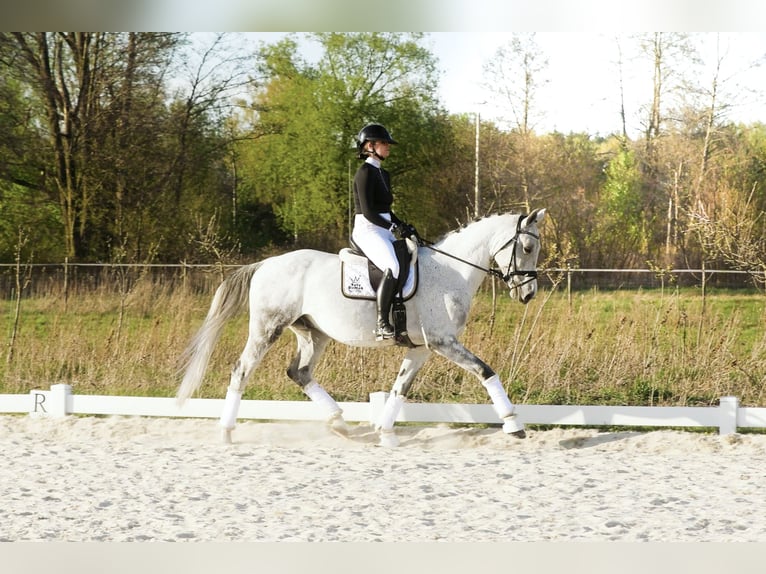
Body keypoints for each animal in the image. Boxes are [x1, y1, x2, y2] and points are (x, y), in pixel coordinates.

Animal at [177, 209, 546, 447]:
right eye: (527, 247)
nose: (528, 294)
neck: (450, 270)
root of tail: (266, 263)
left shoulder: (422, 348)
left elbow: (399, 389)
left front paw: (386, 434)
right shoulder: (443, 342)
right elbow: (486, 371)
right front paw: (514, 425)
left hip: (313, 333)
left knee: (299, 372)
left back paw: (340, 424)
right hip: (268, 328)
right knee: (242, 370)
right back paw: (226, 431)